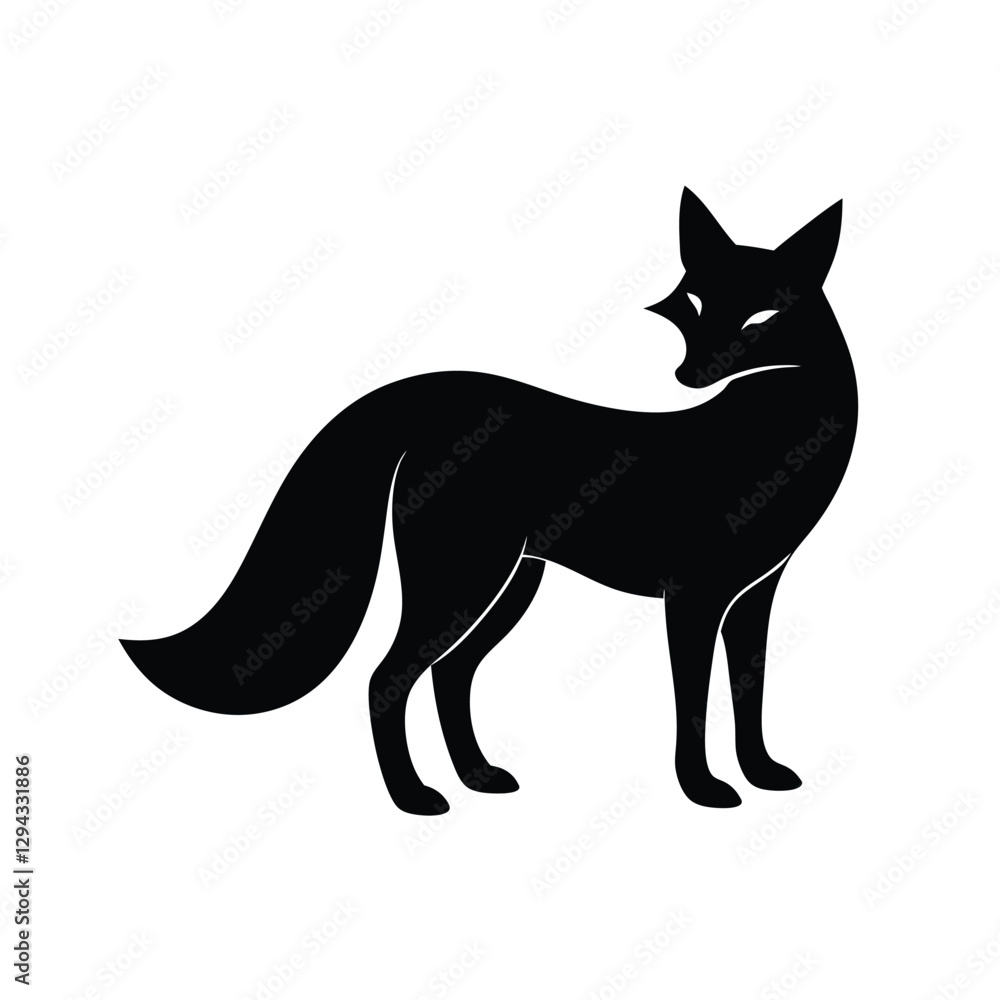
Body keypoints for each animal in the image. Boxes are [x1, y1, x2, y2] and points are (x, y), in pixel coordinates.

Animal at [122, 188, 858, 815]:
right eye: (694, 305)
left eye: (763, 314)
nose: (689, 373)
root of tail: (428, 397)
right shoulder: (694, 598)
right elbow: (695, 703)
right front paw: (703, 789)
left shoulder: (755, 594)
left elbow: (750, 693)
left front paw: (762, 774)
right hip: (466, 579)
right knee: (388, 677)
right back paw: (414, 798)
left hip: (507, 585)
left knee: (449, 675)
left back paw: (476, 778)